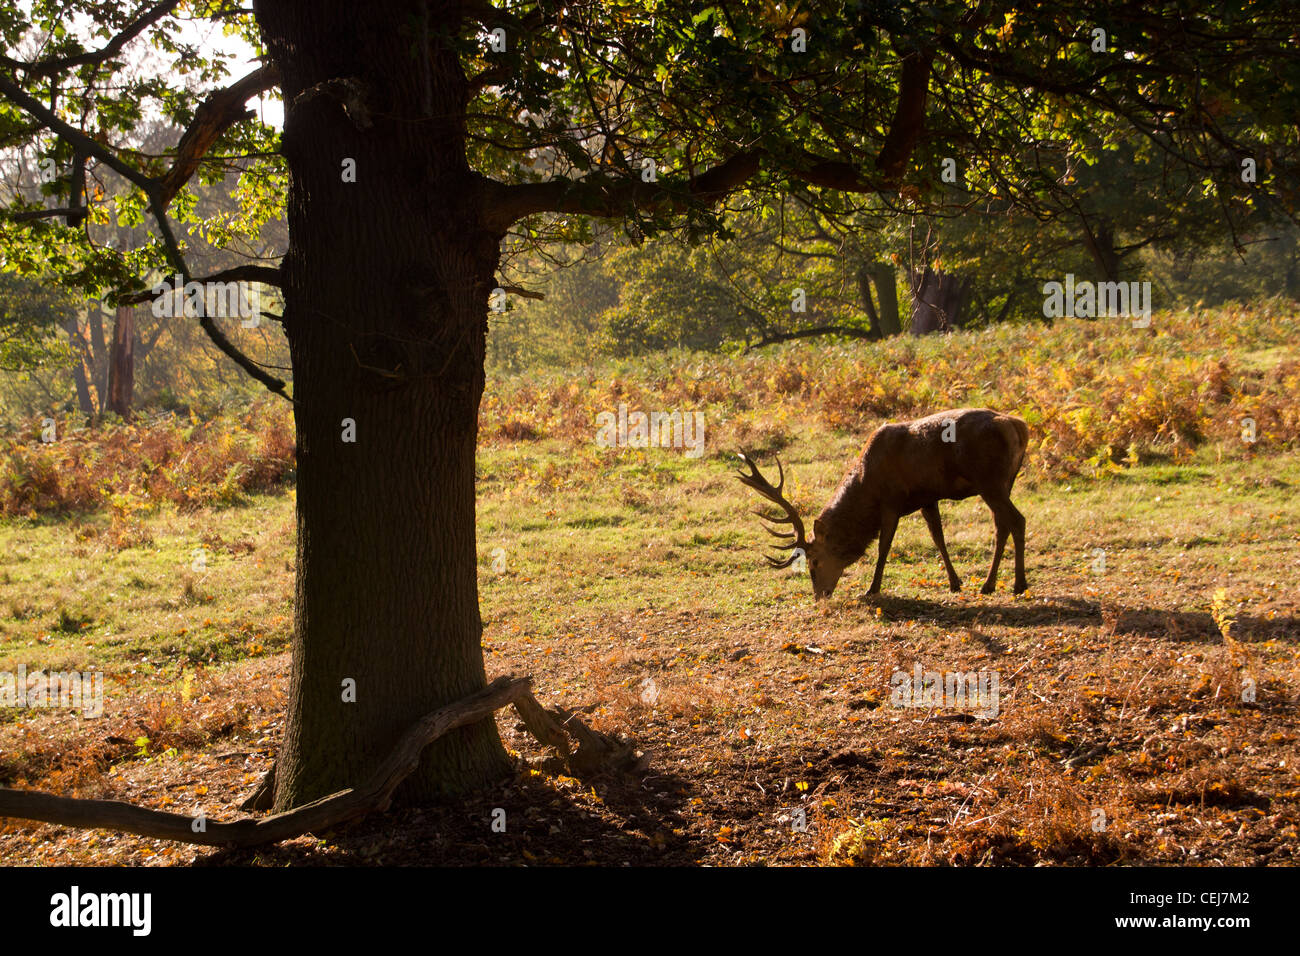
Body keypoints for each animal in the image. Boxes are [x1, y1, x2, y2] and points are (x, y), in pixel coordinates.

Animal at [743, 408, 1024, 600]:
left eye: (814, 562)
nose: (819, 595)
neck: (867, 487)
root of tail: (1019, 427)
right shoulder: (928, 499)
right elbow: (938, 538)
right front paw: (955, 583)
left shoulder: (891, 502)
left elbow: (883, 546)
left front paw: (872, 588)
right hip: (1004, 484)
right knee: (1002, 526)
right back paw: (989, 584)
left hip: (989, 480)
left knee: (1017, 520)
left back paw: (1018, 584)